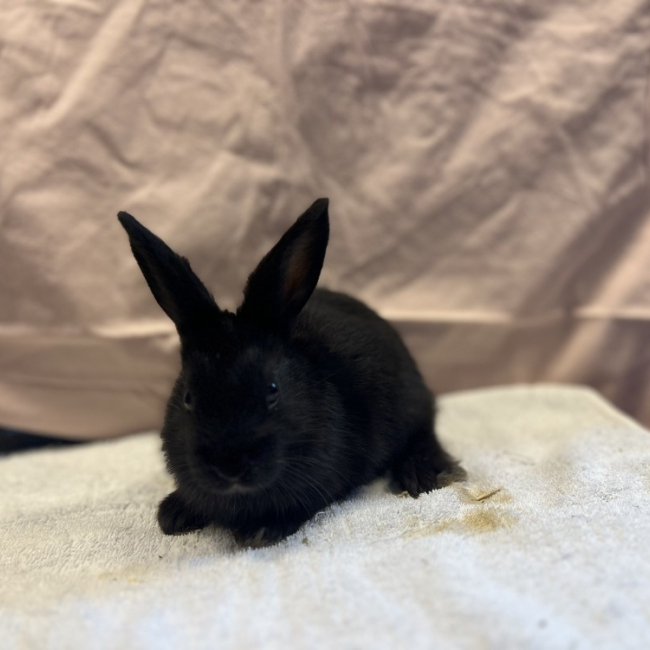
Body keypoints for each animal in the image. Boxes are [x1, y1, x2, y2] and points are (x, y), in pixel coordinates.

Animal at [118, 198, 464, 547]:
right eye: (188, 398)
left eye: (273, 389)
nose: (229, 467)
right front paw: (173, 514)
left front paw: (260, 530)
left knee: (424, 433)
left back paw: (425, 474)